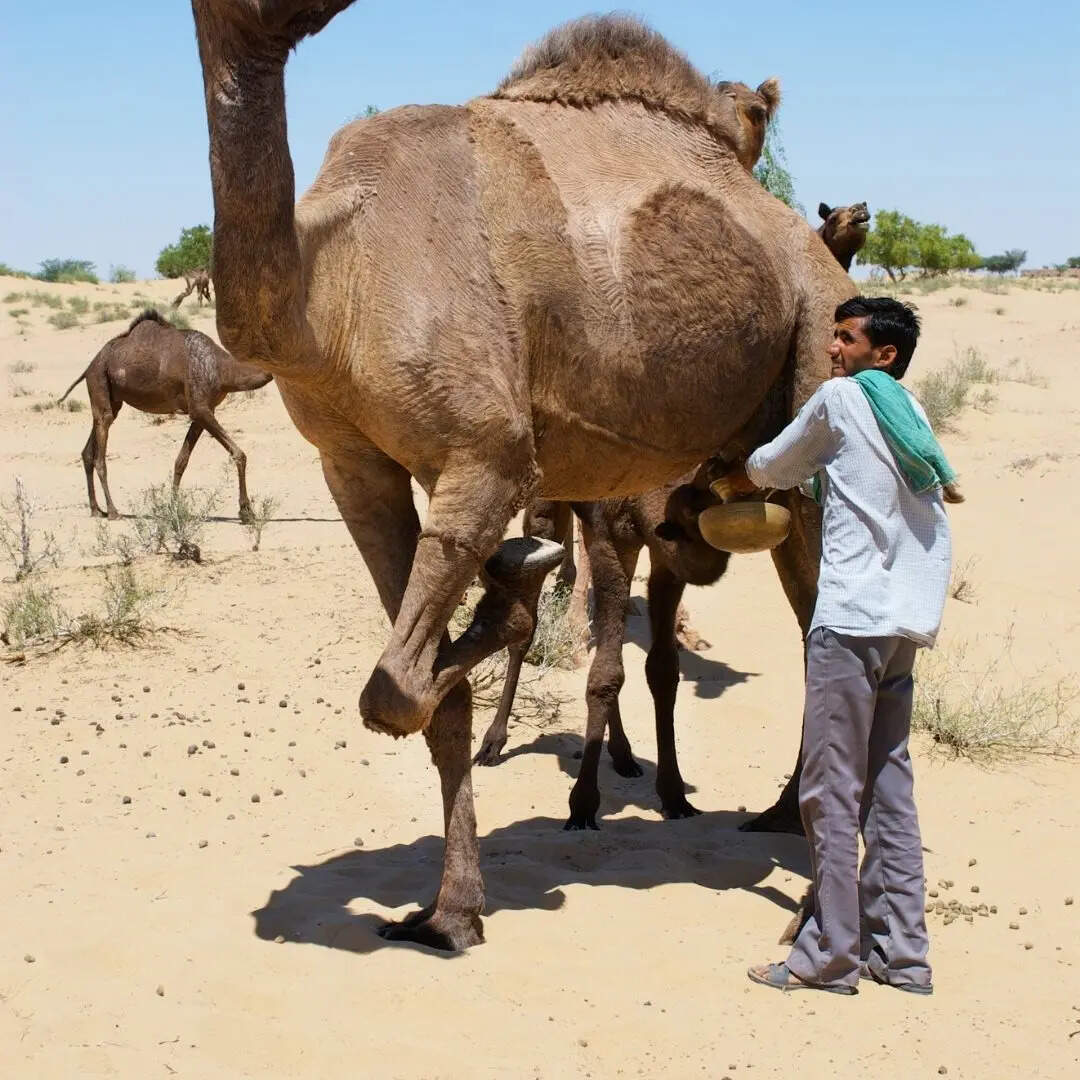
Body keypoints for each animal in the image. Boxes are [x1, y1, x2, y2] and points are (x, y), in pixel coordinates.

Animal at [58, 309, 272, 521]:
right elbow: (239, 454)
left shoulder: (203, 412)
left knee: (89, 449)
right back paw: (113, 512)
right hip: (99, 380)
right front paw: (247, 512)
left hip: (111, 398)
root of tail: (89, 367)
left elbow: (181, 461)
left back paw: (96, 510)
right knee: (100, 454)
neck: (223, 370)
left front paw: (174, 508)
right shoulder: (200, 408)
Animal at [191, 3, 853, 950]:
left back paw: (807, 901)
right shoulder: (353, 465)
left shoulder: (487, 452)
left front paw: (506, 595)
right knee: (810, 625)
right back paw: (777, 816)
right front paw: (451, 911)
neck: (330, 293)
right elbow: (420, 695)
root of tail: (815, 249)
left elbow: (398, 684)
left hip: (821, 345)